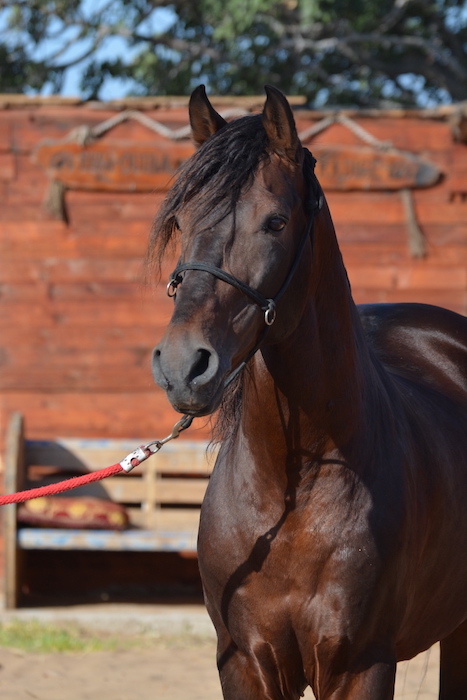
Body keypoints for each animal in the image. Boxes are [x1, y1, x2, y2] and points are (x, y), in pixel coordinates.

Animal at [149, 85, 467, 699]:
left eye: (275, 222)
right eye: (179, 220)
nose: (183, 366)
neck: (291, 492)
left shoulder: (359, 665)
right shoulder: (245, 663)